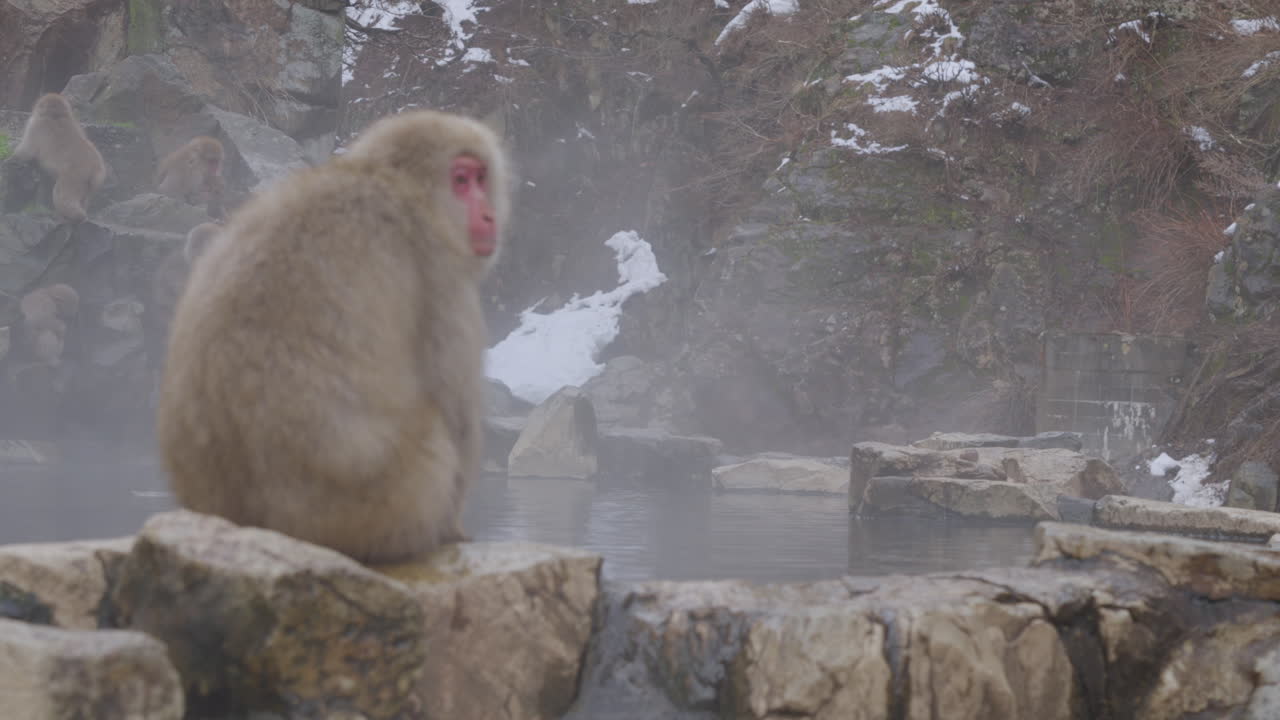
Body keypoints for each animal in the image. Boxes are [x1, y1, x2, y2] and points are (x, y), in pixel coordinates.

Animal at [10, 94, 107, 224]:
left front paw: (12, 158)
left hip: (74, 177)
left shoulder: (35, 126)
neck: (56, 115)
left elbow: (26, 151)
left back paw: (74, 216)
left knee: (63, 196)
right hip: (90, 185)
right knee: (85, 198)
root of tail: (96, 169)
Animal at [157, 110, 510, 564]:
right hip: (378, 506)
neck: (383, 182)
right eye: (462, 180)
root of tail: (246, 520)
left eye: (481, 178)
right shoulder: (439, 269)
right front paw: (455, 529)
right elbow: (455, 412)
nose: (487, 215)